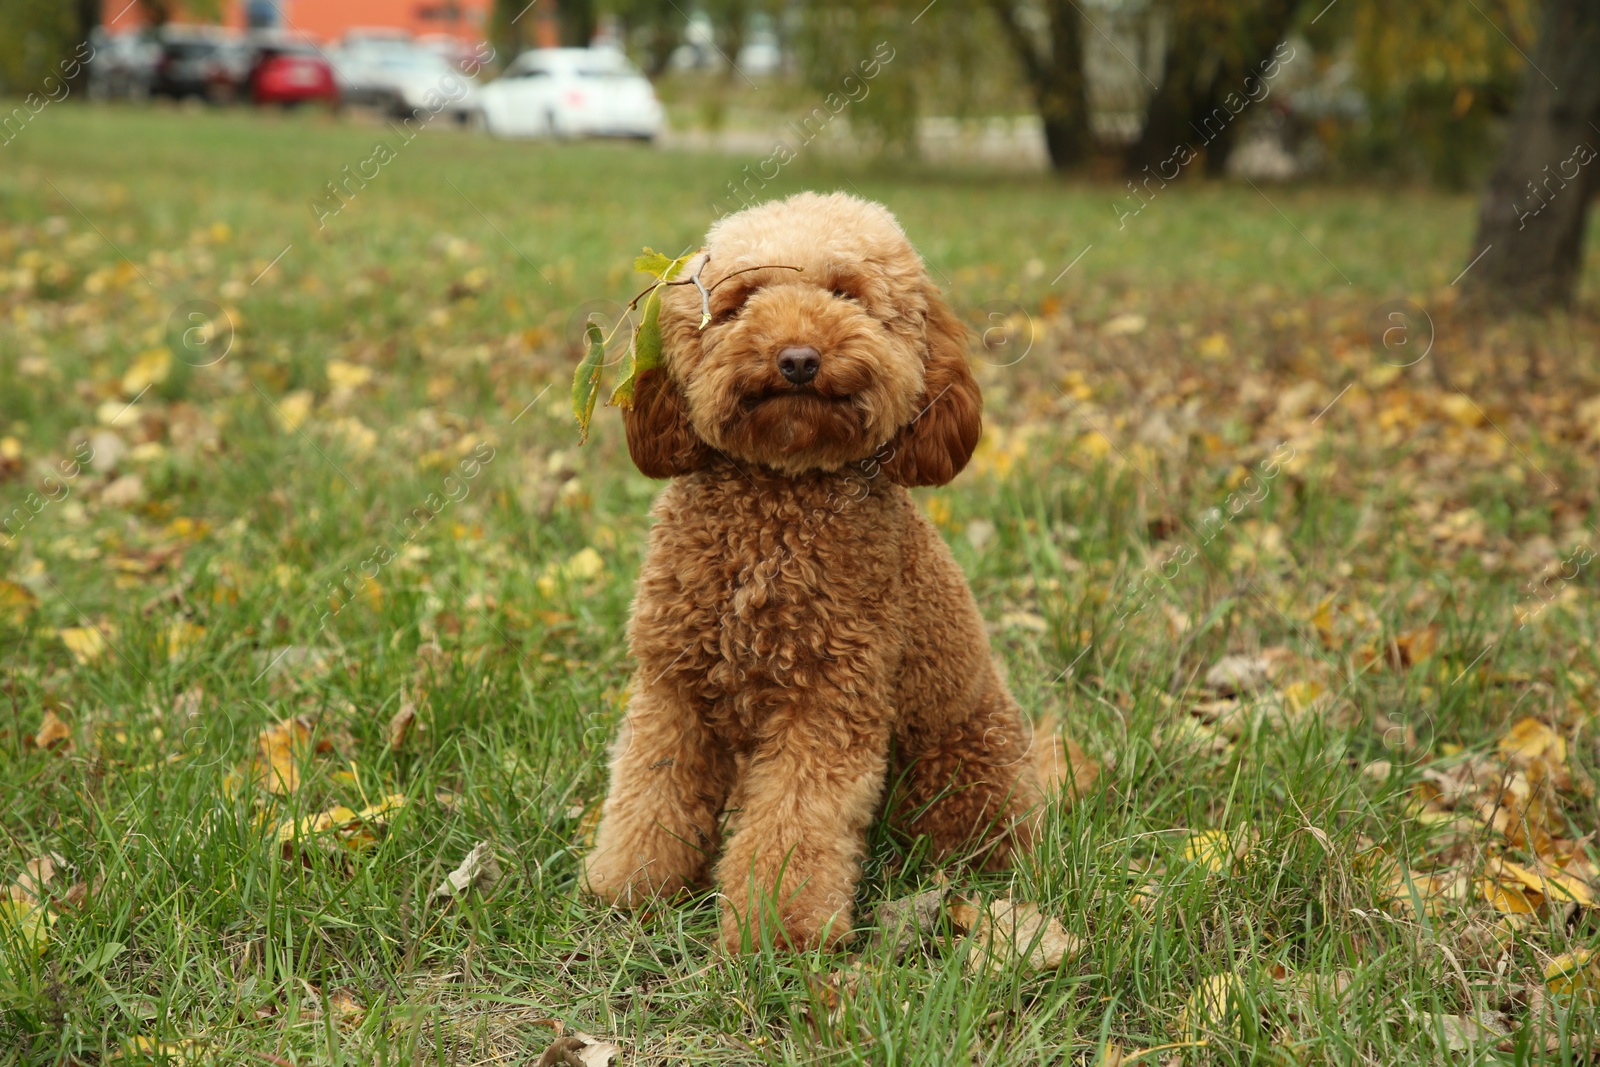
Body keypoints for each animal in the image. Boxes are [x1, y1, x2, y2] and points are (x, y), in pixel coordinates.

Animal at [582, 189, 1068, 953]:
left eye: (848, 294)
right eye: (740, 300)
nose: (798, 359)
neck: (778, 496)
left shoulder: (827, 703)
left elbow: (796, 824)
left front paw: (779, 934)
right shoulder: (673, 688)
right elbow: (649, 793)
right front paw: (632, 890)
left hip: (958, 767)